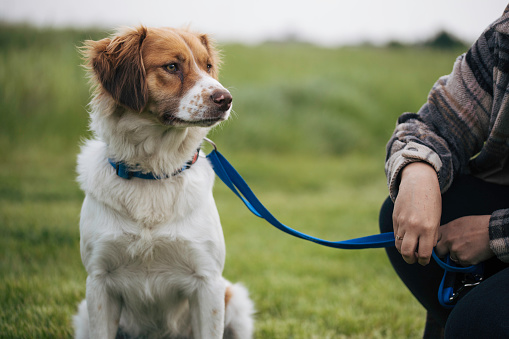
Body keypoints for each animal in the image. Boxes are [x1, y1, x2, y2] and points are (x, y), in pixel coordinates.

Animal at [72, 26, 254, 339]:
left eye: (208, 66)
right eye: (171, 67)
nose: (226, 99)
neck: (153, 172)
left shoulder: (208, 282)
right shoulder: (99, 282)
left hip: (236, 301)